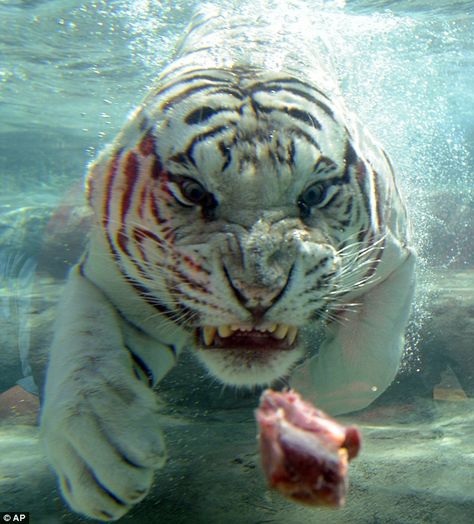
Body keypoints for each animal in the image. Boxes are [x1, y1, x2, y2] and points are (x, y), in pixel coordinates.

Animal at [42, 6, 416, 520]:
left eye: (315, 194)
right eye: (193, 192)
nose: (258, 291)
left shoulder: (395, 259)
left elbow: (370, 361)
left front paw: (308, 395)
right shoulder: (107, 275)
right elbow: (83, 354)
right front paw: (98, 452)